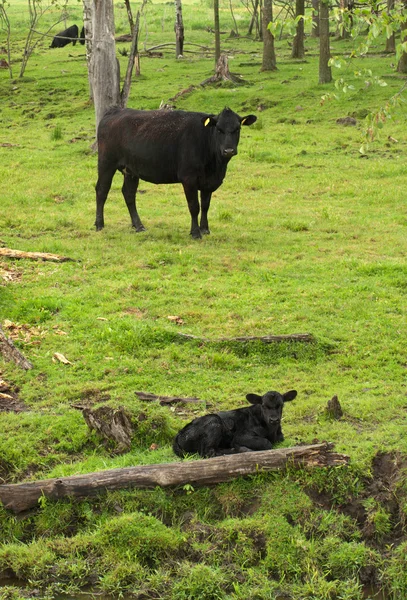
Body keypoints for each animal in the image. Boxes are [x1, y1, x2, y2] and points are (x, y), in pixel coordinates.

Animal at [94, 106, 256, 238]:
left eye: (237, 129)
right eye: (218, 129)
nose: (228, 150)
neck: (216, 166)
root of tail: (115, 111)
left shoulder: (208, 182)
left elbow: (205, 205)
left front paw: (205, 229)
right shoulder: (189, 178)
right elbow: (194, 206)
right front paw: (195, 232)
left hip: (131, 169)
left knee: (129, 194)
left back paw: (138, 225)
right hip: (106, 162)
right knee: (102, 190)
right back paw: (99, 224)